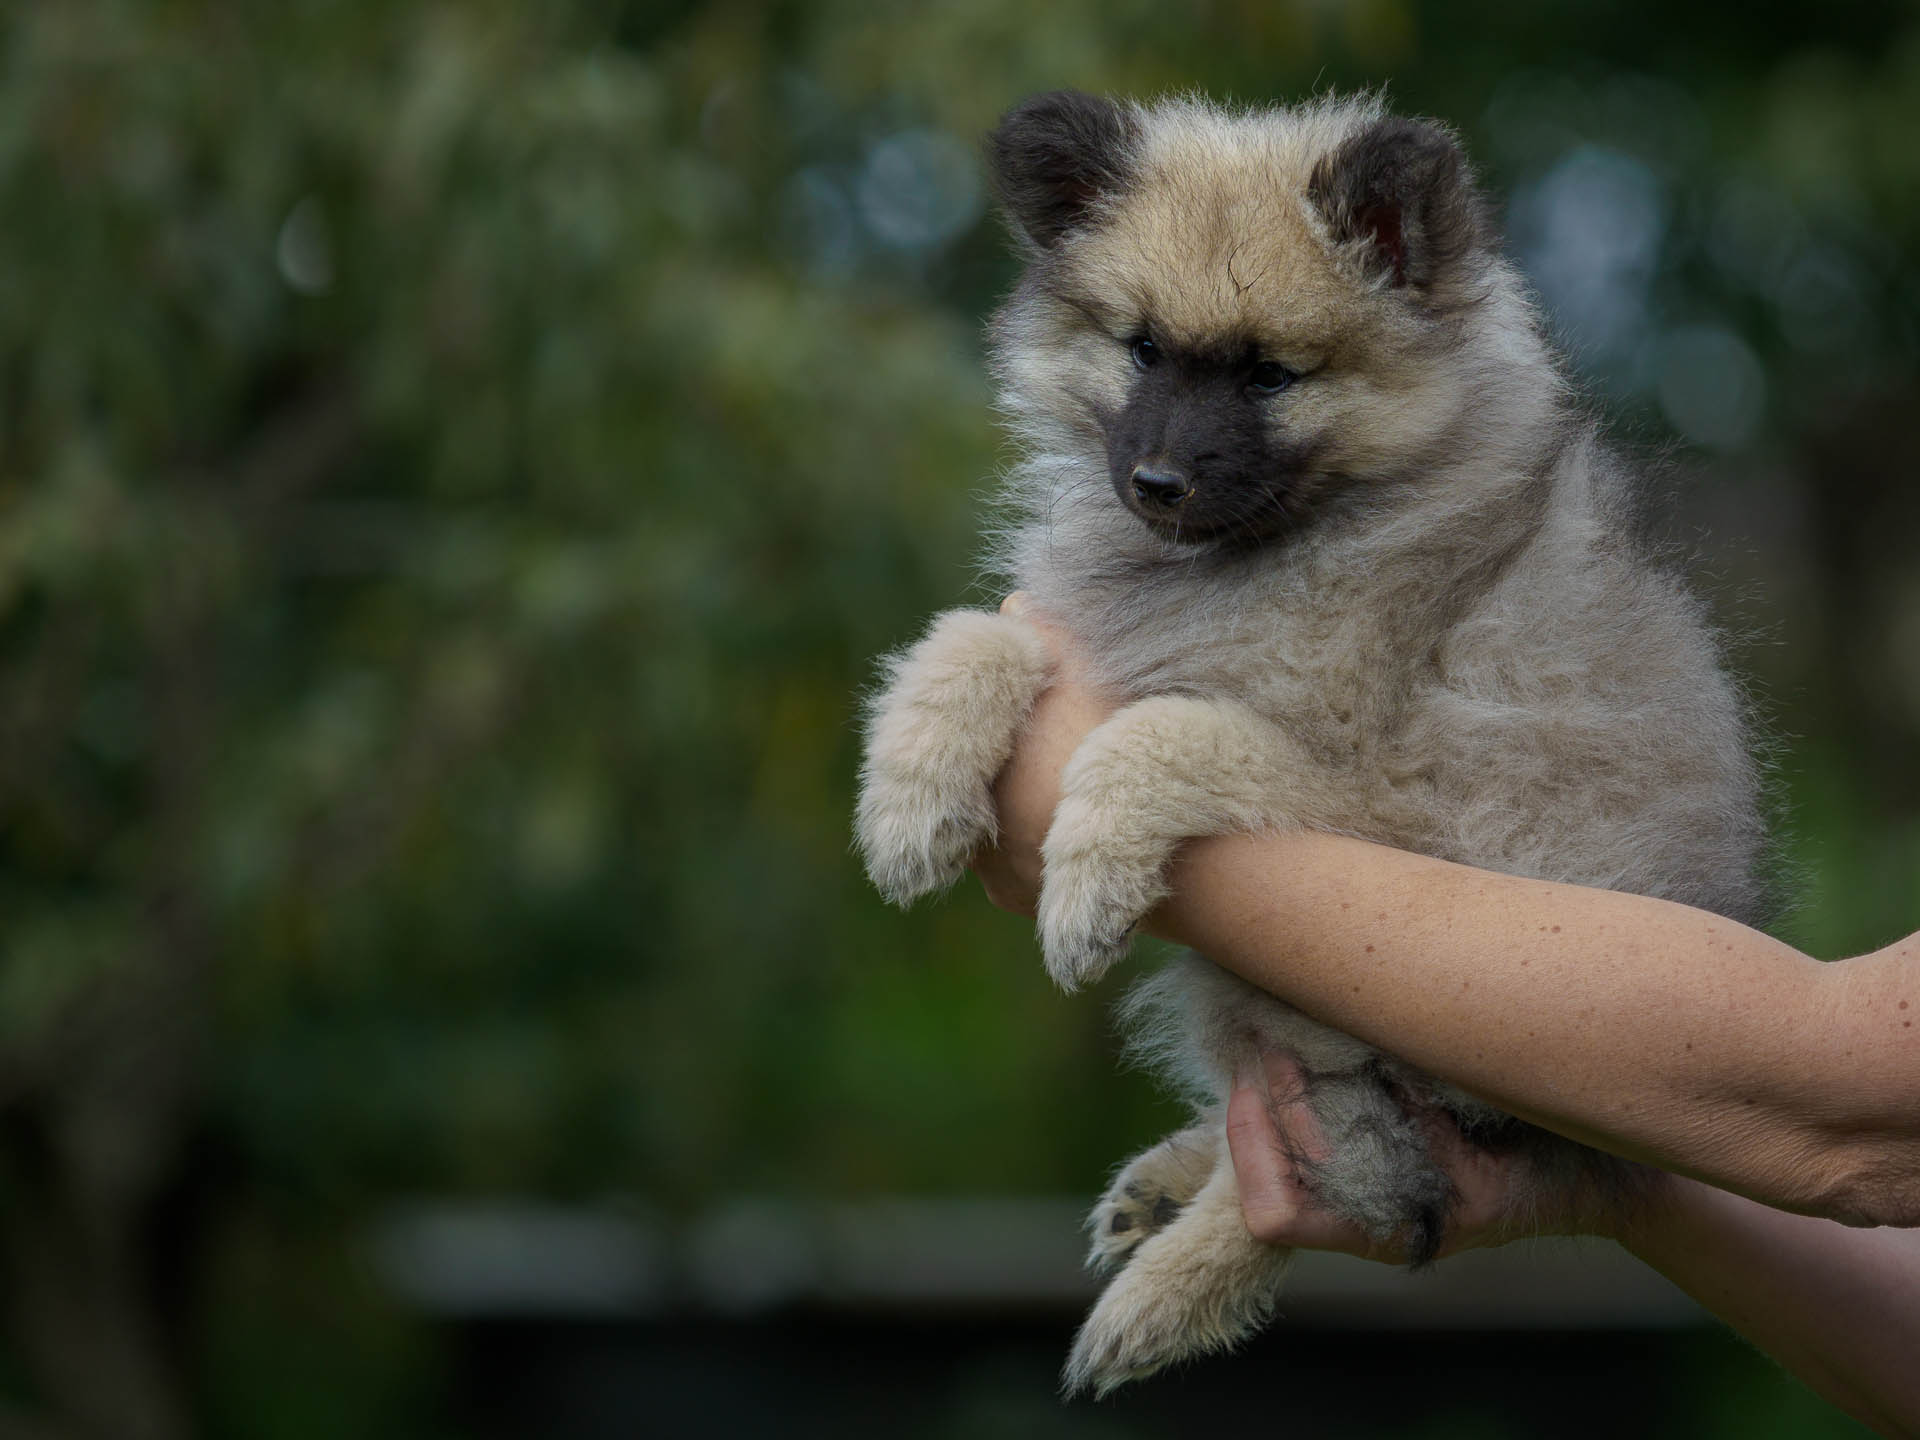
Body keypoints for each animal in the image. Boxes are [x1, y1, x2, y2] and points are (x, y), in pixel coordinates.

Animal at [856, 90, 1766, 1397]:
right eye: (1142, 349)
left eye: (1271, 375)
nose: (1156, 483)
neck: (1295, 537)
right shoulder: (1091, 637)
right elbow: (975, 634)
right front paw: (909, 793)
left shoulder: (1381, 790)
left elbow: (1154, 728)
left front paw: (1082, 881)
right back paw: (1164, 1184)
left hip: (1365, 1029)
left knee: (1350, 1183)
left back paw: (1162, 1291)